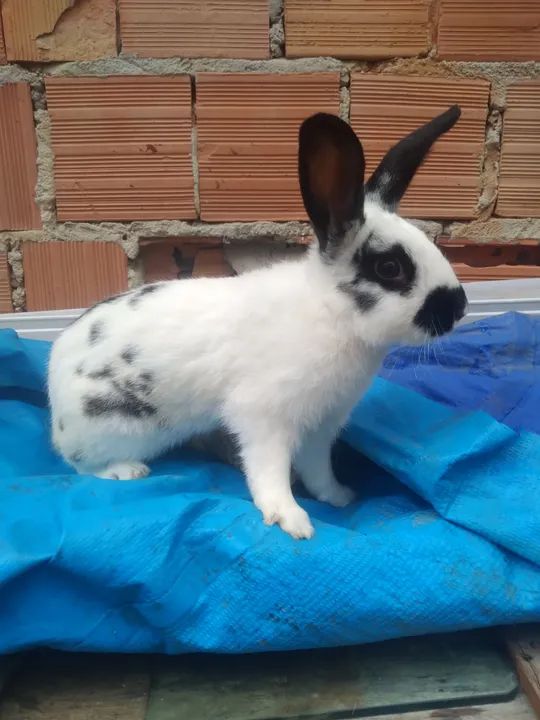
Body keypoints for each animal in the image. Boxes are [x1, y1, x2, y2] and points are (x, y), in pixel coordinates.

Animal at [48, 106, 467, 540]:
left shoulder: (322, 427)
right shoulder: (264, 417)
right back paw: (127, 470)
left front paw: (339, 496)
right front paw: (292, 520)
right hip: (110, 428)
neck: (332, 313)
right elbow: (269, 470)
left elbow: (318, 468)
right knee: (78, 463)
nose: (459, 307)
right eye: (390, 268)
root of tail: (54, 387)